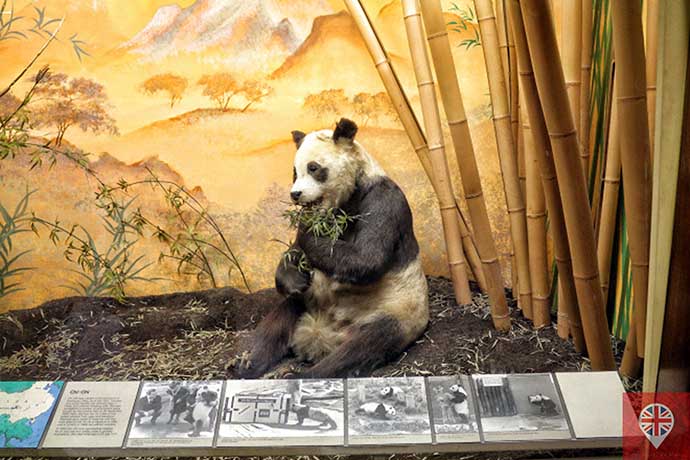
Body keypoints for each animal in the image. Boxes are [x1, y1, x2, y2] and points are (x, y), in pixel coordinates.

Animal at [238, 118, 429, 378]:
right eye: (294, 171)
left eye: (314, 168)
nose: (295, 194)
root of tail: (325, 335)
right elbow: (296, 255)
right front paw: (294, 278)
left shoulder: (382, 200)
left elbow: (367, 259)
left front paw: (305, 225)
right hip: (308, 301)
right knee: (278, 319)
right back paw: (247, 362)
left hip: (396, 309)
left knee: (368, 343)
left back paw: (304, 373)